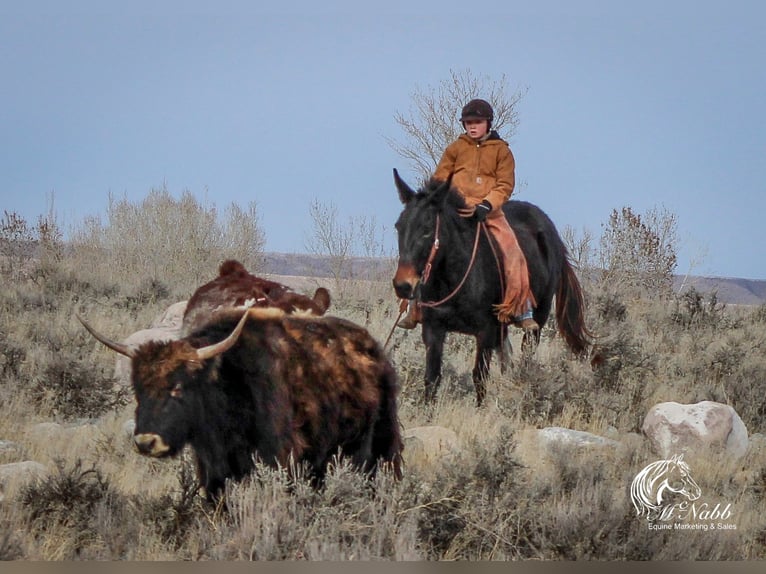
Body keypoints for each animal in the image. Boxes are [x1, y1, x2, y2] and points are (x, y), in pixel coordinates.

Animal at [78, 308, 404, 502]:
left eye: (178, 387)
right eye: (138, 390)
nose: (146, 442)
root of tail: (376, 351)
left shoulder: (280, 460)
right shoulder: (214, 471)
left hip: (374, 449)